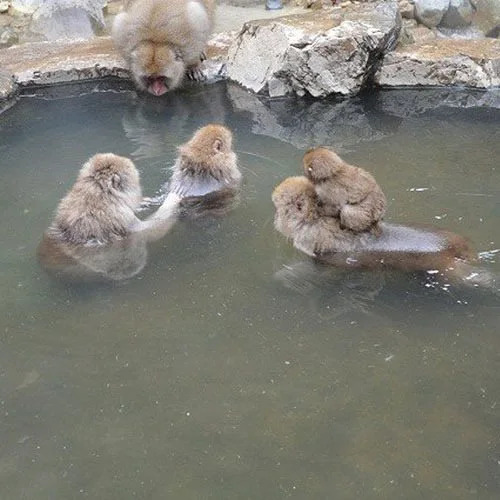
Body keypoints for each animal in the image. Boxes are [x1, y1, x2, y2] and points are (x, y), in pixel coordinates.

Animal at [272, 176, 495, 289]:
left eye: (281, 203)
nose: (273, 196)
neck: (317, 219)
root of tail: (463, 249)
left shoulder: (315, 244)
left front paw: (283, 275)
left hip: (446, 267)